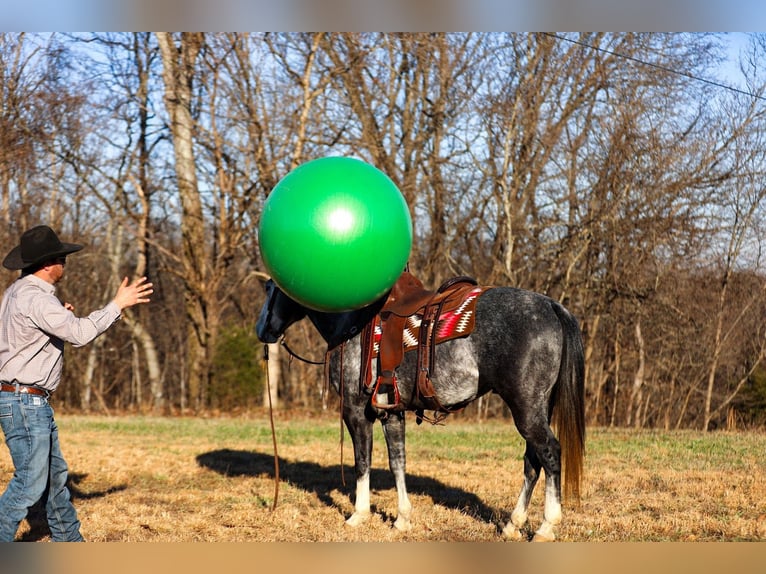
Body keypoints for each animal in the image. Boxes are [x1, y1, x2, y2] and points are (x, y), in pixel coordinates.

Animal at [255, 277, 585, 541]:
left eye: (272, 289)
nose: (262, 330)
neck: (352, 325)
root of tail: (552, 306)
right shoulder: (391, 412)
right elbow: (397, 462)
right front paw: (402, 519)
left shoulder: (356, 410)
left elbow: (362, 462)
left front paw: (358, 515)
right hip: (538, 409)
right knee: (532, 462)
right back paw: (512, 525)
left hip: (527, 410)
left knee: (549, 453)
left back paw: (545, 527)